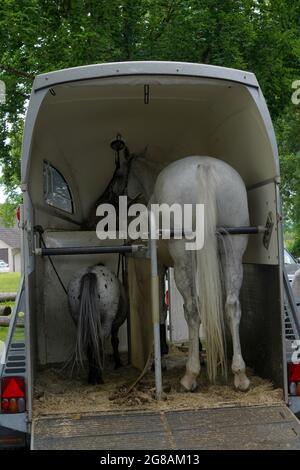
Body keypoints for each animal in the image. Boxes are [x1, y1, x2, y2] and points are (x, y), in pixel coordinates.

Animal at [123, 151, 250, 392]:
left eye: (119, 174)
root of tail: (204, 166)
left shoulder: (160, 266)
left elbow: (161, 309)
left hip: (184, 256)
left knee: (193, 308)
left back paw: (190, 375)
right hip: (233, 248)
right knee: (231, 305)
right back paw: (240, 374)